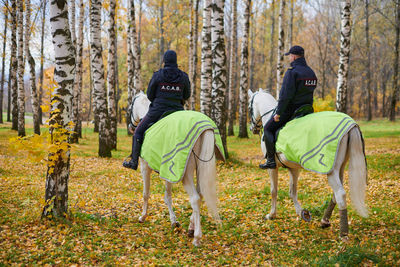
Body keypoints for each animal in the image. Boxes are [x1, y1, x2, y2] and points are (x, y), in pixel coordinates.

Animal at [128, 92, 220, 247]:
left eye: (129, 107)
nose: (130, 126)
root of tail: (205, 128)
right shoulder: (168, 172)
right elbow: (168, 196)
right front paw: (174, 221)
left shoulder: (145, 167)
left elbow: (146, 194)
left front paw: (143, 216)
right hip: (199, 169)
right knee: (200, 194)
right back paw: (191, 228)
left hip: (186, 174)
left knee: (195, 198)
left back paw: (197, 238)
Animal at [247, 89, 368, 240]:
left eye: (249, 108)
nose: (253, 129)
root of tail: (351, 124)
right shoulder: (294, 168)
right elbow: (293, 191)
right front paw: (301, 213)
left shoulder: (272, 168)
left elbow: (274, 191)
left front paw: (271, 215)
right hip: (340, 168)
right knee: (336, 193)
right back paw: (324, 221)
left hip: (331, 170)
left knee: (340, 194)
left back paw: (343, 234)